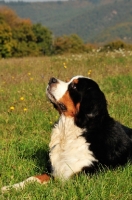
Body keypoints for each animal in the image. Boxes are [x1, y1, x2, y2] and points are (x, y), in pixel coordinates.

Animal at [1, 76, 132, 191]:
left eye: (74, 86)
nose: (51, 79)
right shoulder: (54, 171)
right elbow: (33, 178)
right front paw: (10, 188)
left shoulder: (80, 177)